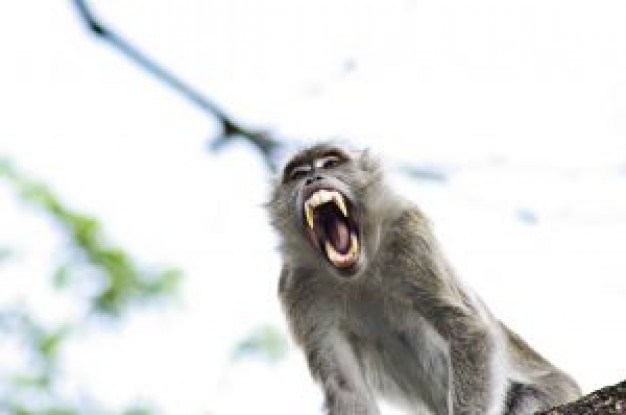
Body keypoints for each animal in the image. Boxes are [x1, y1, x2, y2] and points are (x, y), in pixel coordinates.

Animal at [264, 144, 580, 415]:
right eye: (298, 174)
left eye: (331, 164)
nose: (314, 177)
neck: (360, 271)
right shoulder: (298, 287)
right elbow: (346, 386)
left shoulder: (409, 235)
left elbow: (467, 330)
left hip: (553, 392)